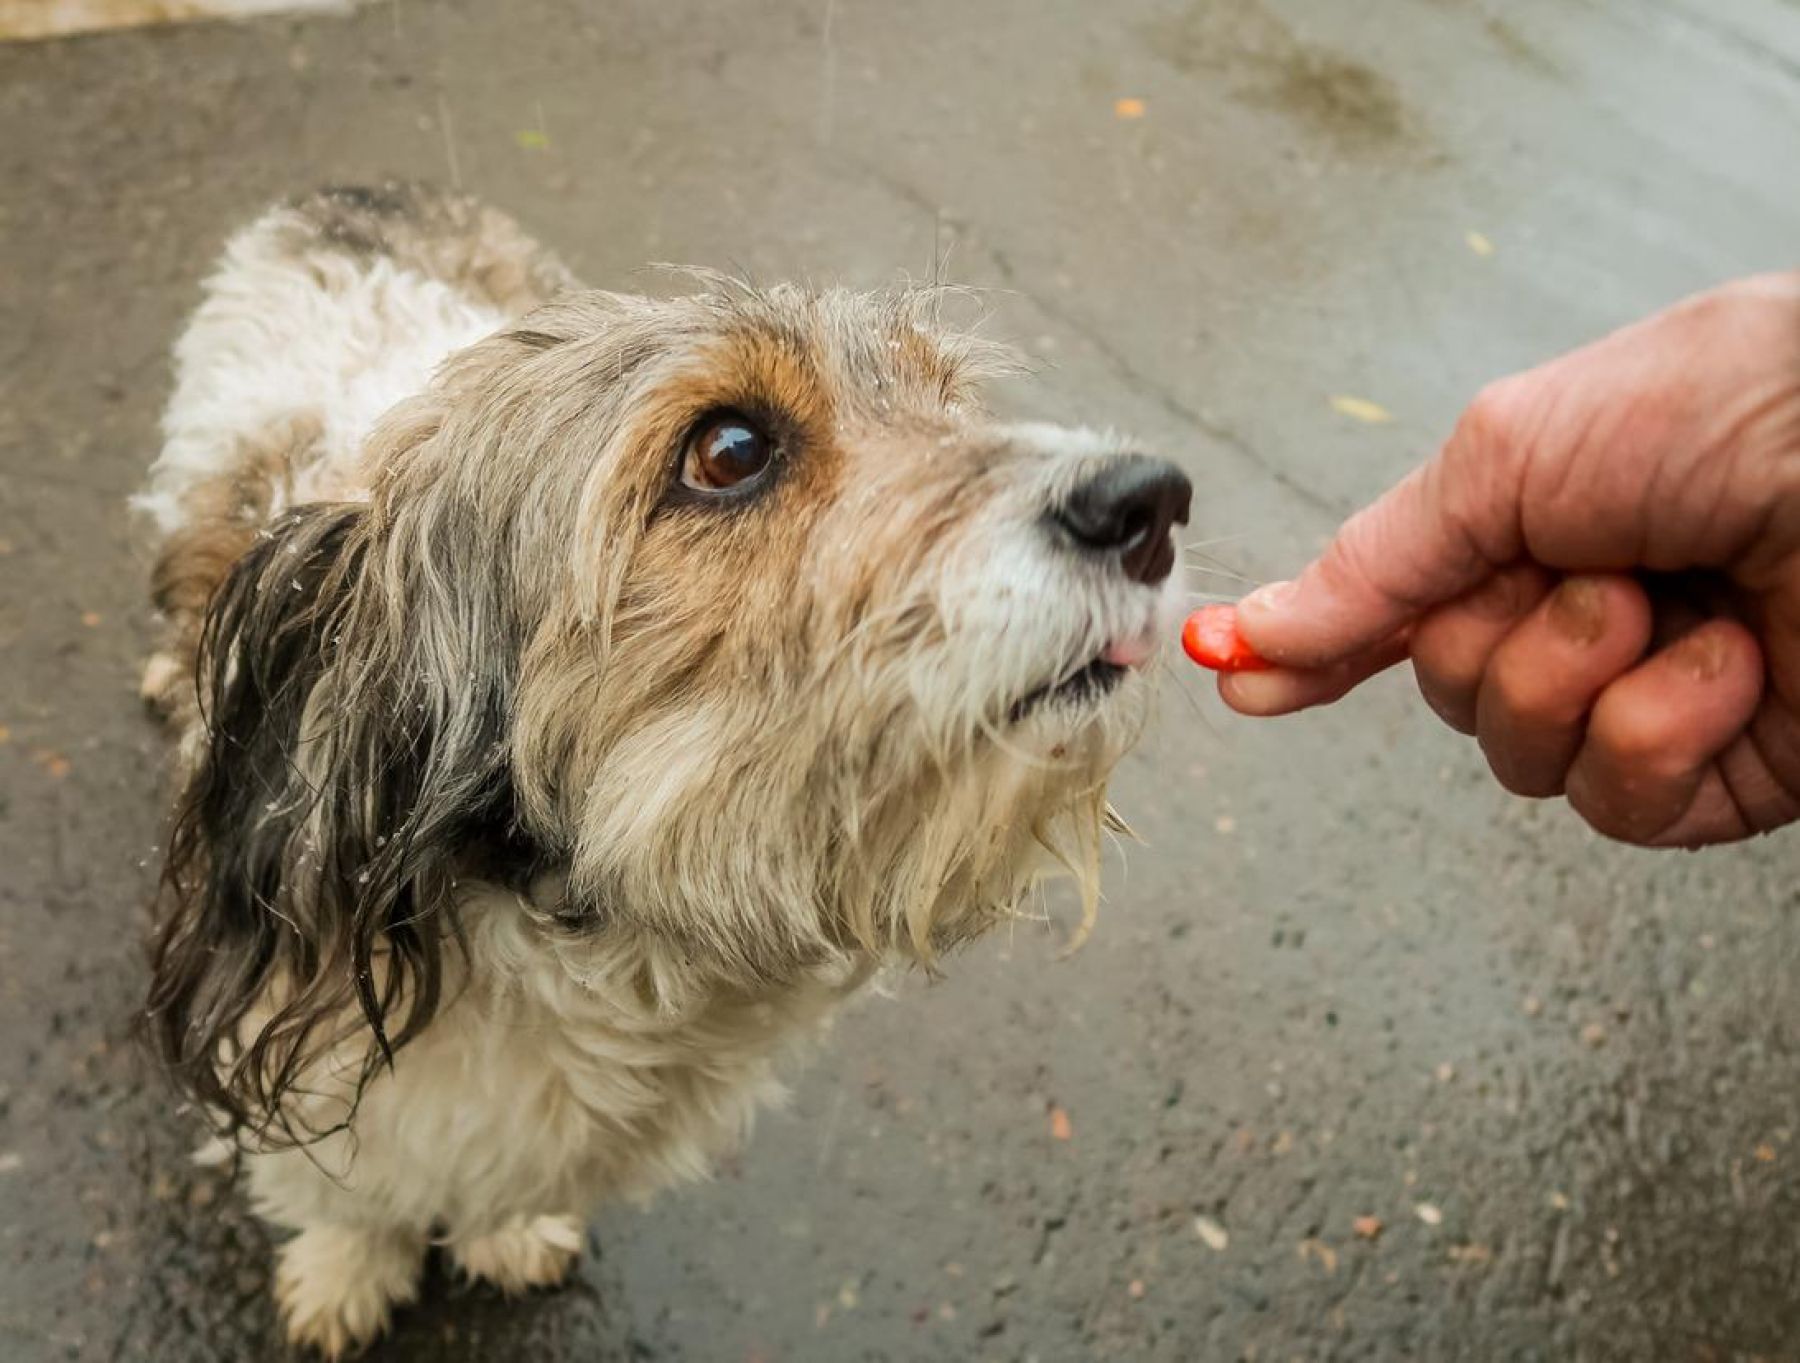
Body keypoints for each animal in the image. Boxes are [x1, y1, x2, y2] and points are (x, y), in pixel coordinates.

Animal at [133, 183, 1188, 1353]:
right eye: (729, 448)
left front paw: (505, 1231)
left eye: (950, 401)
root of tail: (362, 194)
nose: (1151, 500)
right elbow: (350, 1195)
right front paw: (344, 1271)